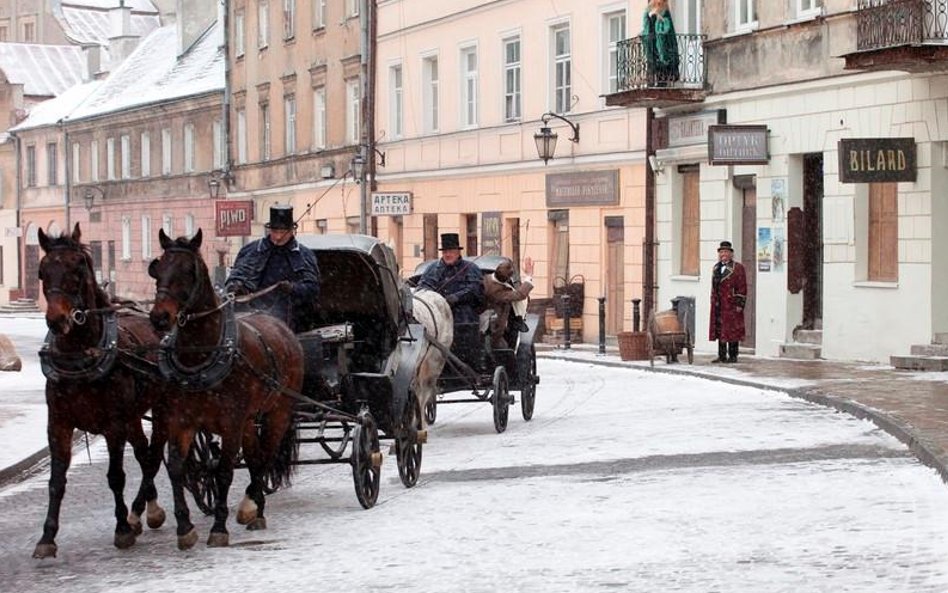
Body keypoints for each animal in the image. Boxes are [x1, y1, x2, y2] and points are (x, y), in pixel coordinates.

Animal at [34, 224, 168, 556]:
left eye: (79, 268)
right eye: (43, 271)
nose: (57, 320)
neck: (80, 355)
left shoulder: (113, 425)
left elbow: (116, 476)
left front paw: (121, 529)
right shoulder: (58, 423)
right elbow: (56, 480)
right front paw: (47, 537)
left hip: (161, 409)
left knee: (153, 455)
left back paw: (140, 512)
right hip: (134, 415)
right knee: (144, 452)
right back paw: (147, 510)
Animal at [147, 228, 300, 552]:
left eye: (188, 271)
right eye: (159, 269)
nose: (160, 317)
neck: (202, 353)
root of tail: (280, 325)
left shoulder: (231, 422)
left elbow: (224, 470)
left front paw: (219, 527)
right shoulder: (182, 421)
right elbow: (177, 468)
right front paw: (184, 527)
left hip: (277, 413)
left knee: (266, 456)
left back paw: (250, 506)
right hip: (249, 421)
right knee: (256, 458)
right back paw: (255, 510)